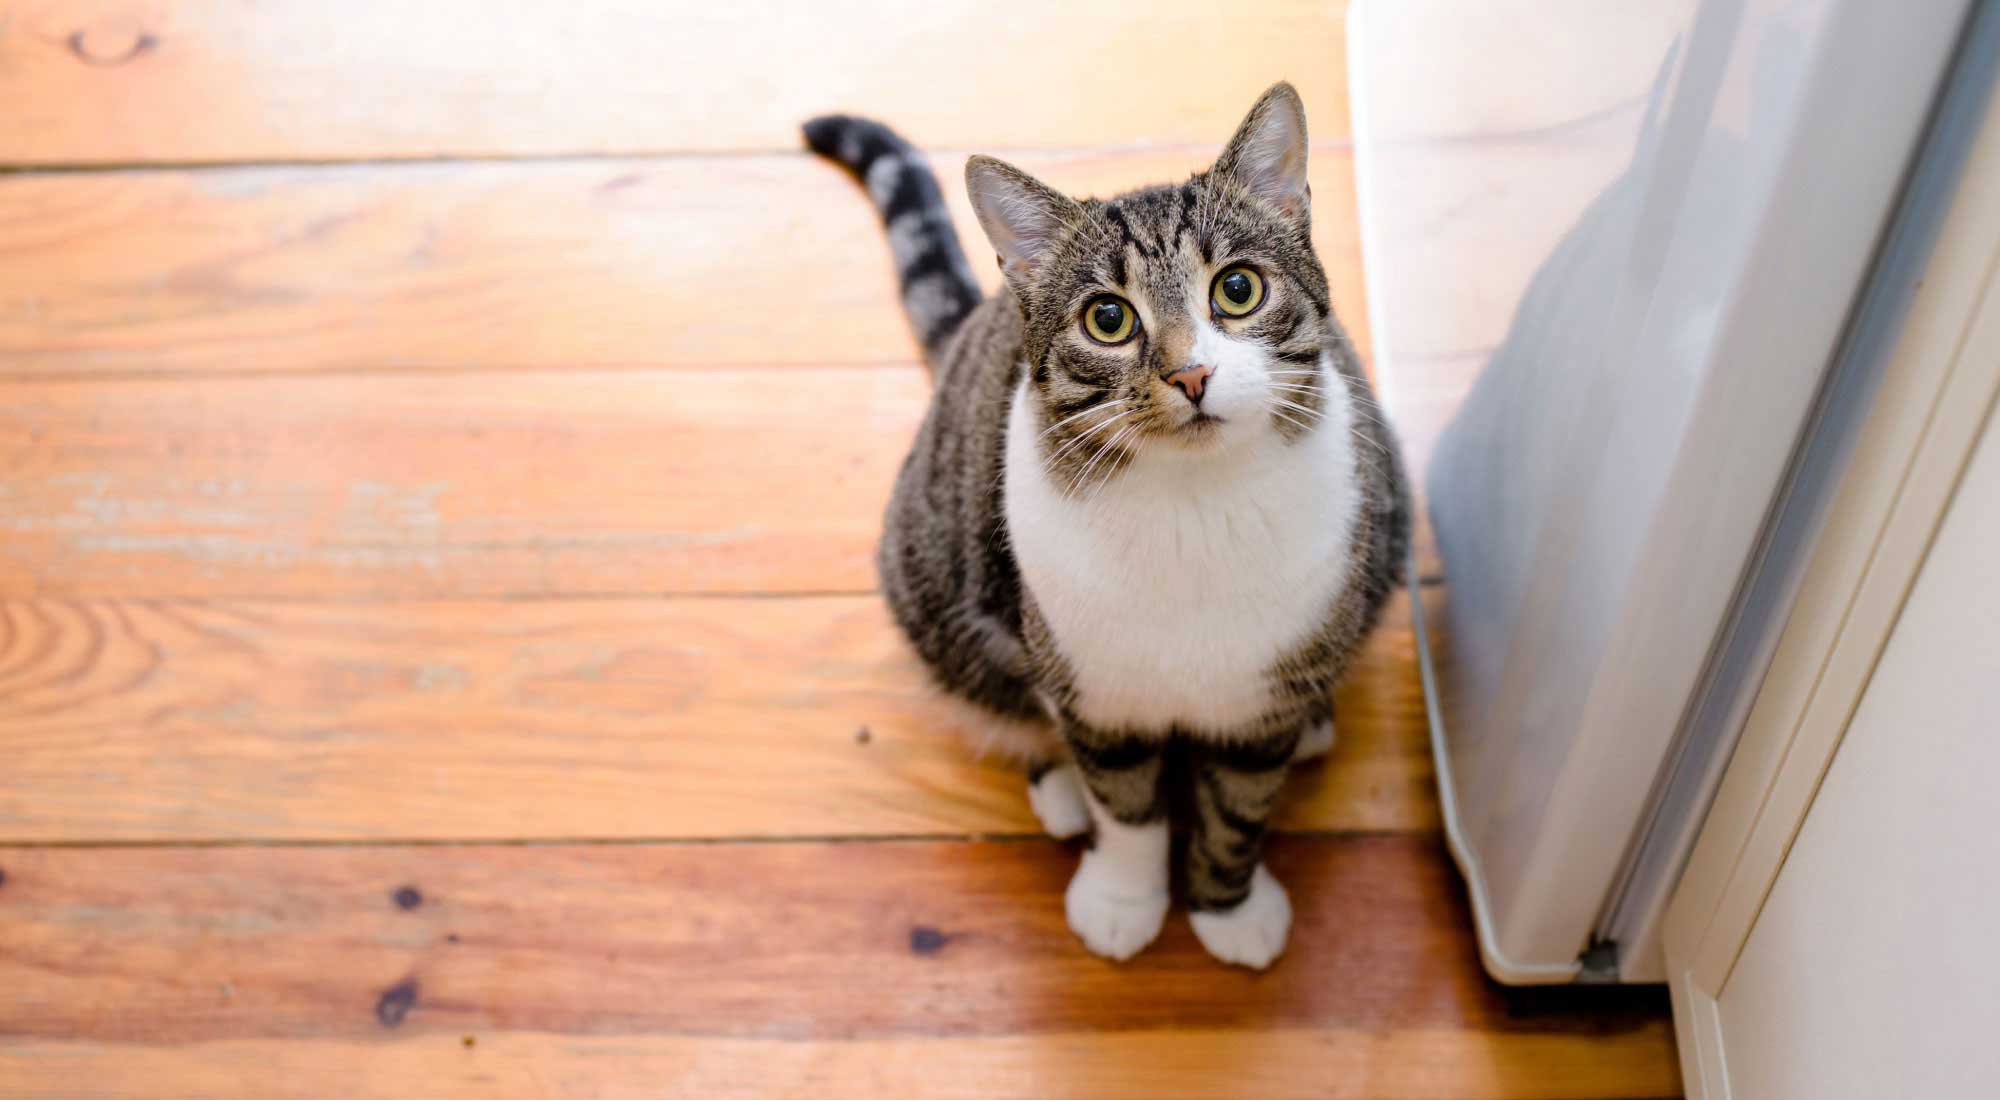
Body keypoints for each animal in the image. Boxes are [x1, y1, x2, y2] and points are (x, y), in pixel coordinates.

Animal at [800, 82, 1408, 972]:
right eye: (1109, 319)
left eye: (1238, 290)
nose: (1192, 373)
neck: (1194, 507)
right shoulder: (1095, 691)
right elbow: (1126, 806)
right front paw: (1124, 898)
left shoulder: (1263, 694)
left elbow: (1238, 808)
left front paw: (1228, 909)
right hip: (935, 581)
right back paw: (1058, 789)